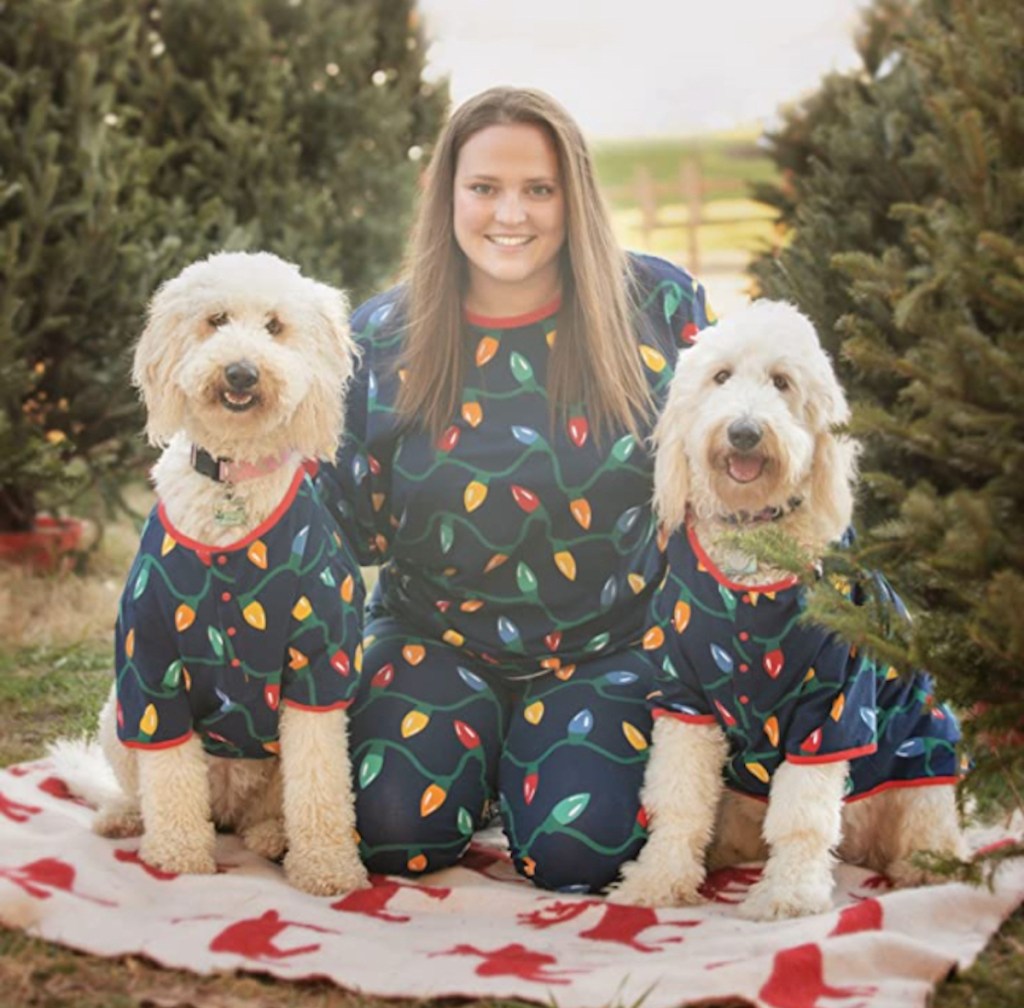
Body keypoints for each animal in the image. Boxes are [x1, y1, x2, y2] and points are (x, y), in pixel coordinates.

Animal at [90, 252, 366, 897]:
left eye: (275, 327)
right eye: (215, 320)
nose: (241, 373)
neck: (232, 482)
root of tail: (229, 808)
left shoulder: (320, 664)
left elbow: (321, 779)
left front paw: (327, 867)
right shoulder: (150, 659)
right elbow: (169, 774)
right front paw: (177, 860)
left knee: (266, 810)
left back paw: (272, 836)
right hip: (116, 715)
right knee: (147, 786)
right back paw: (125, 817)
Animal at [610, 299, 962, 921]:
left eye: (781, 382)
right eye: (721, 376)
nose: (745, 432)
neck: (754, 549)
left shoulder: (833, 709)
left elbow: (802, 817)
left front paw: (789, 894)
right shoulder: (684, 697)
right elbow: (677, 799)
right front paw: (659, 880)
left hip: (926, 762)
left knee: (930, 827)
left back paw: (922, 869)